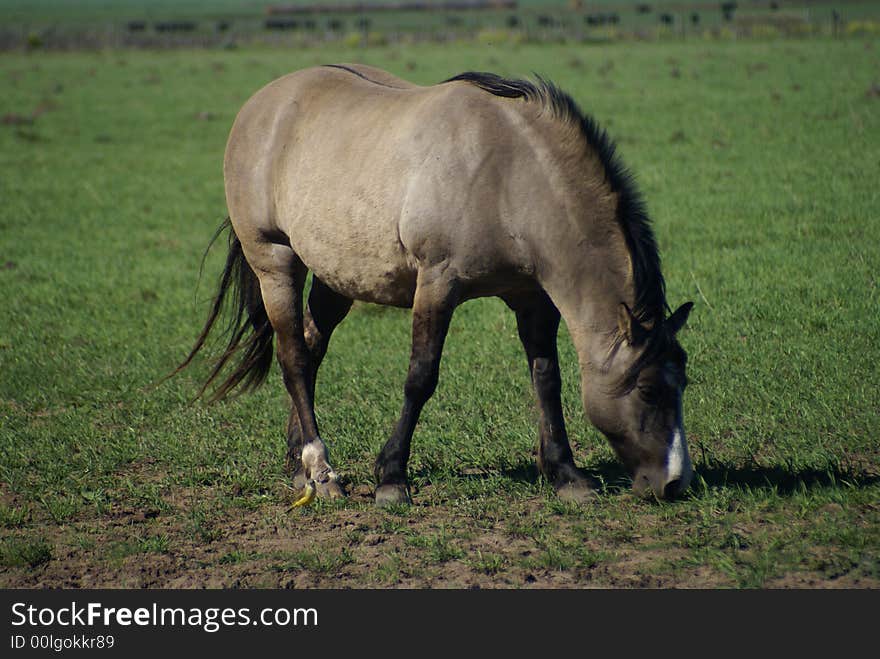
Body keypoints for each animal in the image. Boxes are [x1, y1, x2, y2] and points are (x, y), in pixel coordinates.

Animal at [172, 63, 696, 506]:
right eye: (648, 389)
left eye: (683, 383)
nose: (676, 483)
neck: (508, 175)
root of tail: (263, 104)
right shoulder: (438, 283)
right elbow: (421, 377)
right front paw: (391, 478)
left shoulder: (532, 298)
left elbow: (547, 377)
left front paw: (567, 474)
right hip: (275, 261)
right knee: (294, 358)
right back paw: (322, 473)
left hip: (334, 277)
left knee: (311, 345)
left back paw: (300, 465)